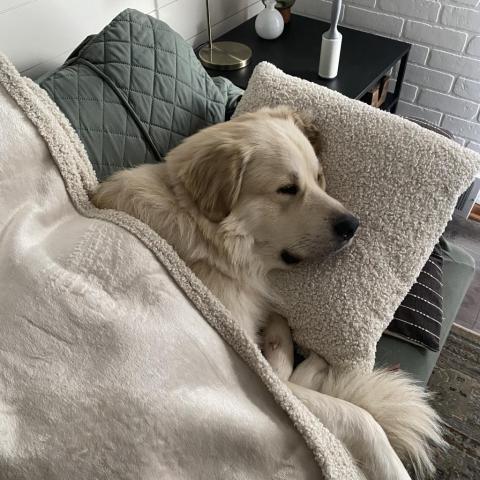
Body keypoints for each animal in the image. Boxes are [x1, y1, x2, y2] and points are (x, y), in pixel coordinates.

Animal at [92, 107, 444, 478]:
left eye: (318, 178)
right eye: (287, 189)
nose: (353, 225)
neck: (204, 236)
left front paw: (282, 338)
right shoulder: (256, 368)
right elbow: (357, 416)